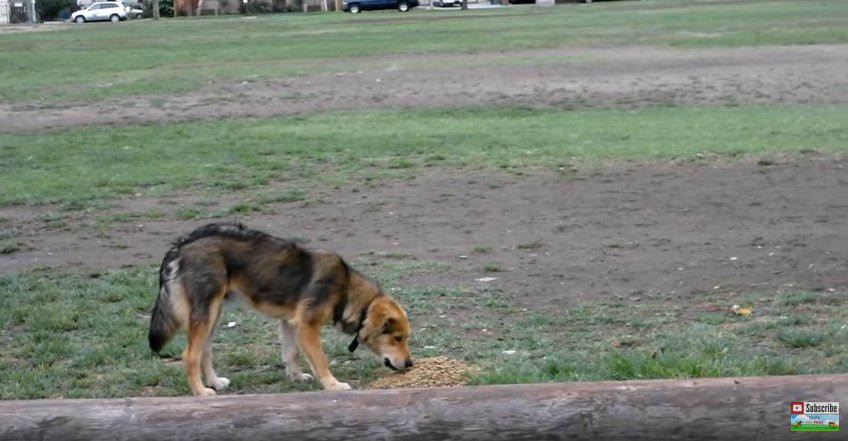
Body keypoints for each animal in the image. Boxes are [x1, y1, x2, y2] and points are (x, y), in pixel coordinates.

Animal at [147, 220, 412, 396]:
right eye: (398, 338)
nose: (410, 364)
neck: (345, 290)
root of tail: (182, 244)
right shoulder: (306, 325)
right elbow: (321, 360)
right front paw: (333, 385)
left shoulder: (290, 322)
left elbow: (291, 354)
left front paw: (296, 377)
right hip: (206, 313)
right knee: (190, 354)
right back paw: (201, 392)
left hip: (212, 314)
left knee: (204, 351)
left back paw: (215, 383)